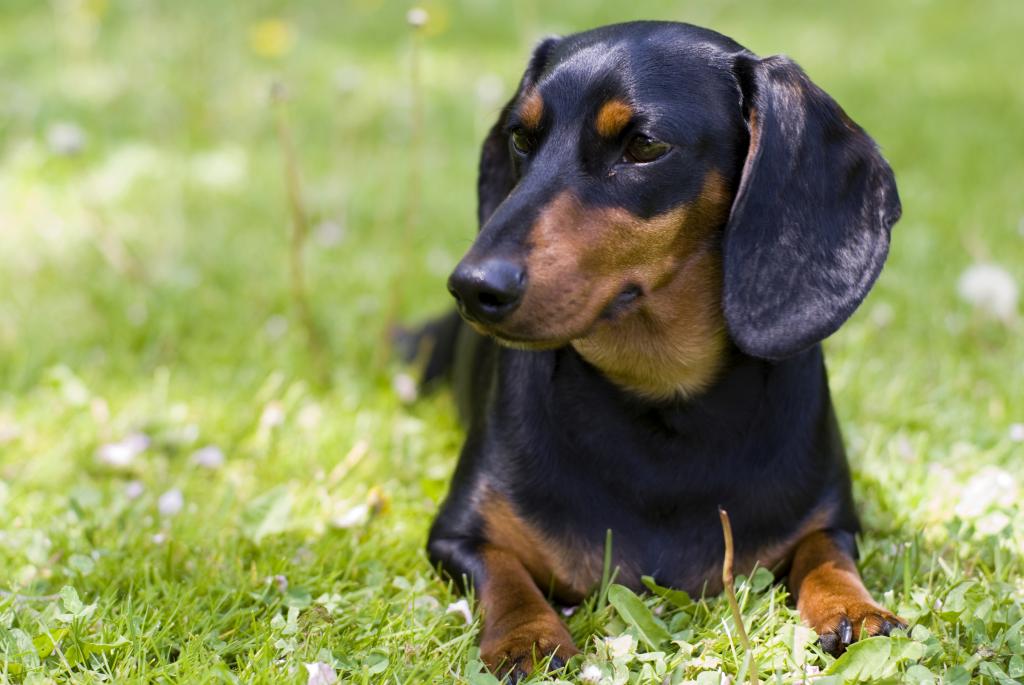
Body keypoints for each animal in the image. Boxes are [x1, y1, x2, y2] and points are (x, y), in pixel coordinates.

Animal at [399, 21, 905, 679]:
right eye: (521, 137)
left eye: (643, 145)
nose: (472, 286)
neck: (660, 396)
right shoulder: (457, 538)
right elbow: (506, 576)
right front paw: (527, 637)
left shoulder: (834, 521)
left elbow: (826, 553)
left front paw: (855, 606)